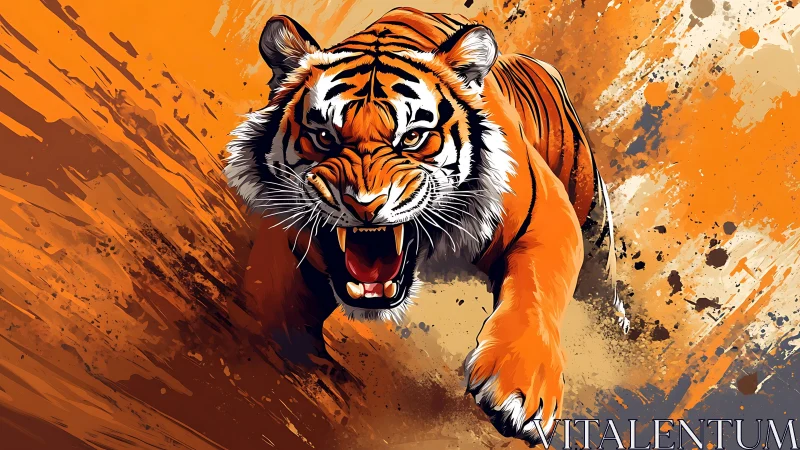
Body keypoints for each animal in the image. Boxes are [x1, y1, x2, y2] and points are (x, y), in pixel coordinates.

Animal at [224, 7, 627, 445]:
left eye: (413, 137)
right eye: (324, 137)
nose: (364, 204)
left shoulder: (546, 214)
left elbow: (536, 291)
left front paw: (520, 390)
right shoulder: (287, 245)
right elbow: (276, 319)